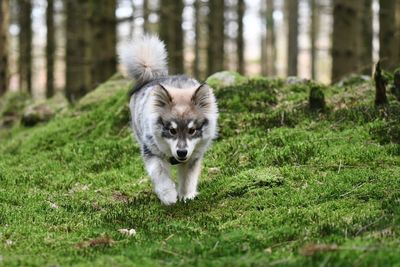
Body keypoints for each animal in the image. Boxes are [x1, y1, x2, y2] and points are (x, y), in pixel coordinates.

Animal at [119, 35, 219, 206]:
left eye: (192, 130)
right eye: (172, 130)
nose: (181, 152)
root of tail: (152, 75)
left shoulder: (192, 158)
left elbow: (188, 179)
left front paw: (186, 196)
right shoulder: (151, 152)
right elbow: (161, 176)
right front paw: (169, 196)